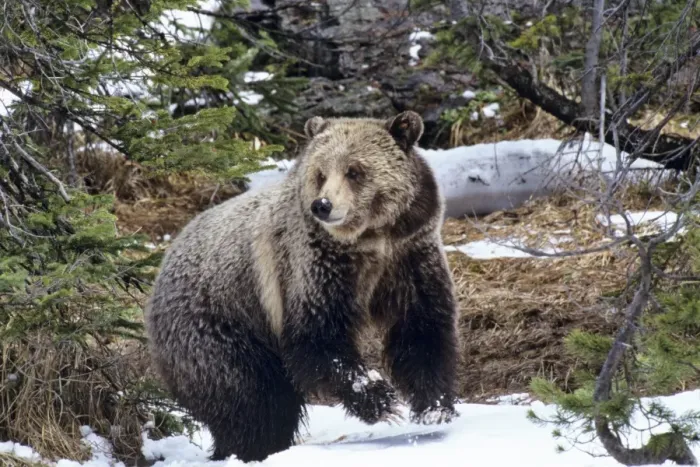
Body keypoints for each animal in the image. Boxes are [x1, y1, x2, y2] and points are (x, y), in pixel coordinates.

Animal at [144, 111, 460, 463]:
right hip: (218, 326)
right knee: (251, 399)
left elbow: (422, 329)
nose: (322, 205)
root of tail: (160, 272)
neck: (369, 241)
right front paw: (381, 399)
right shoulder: (312, 268)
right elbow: (317, 339)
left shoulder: (408, 257)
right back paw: (249, 449)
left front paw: (434, 406)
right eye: (321, 173)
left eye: (354, 171)